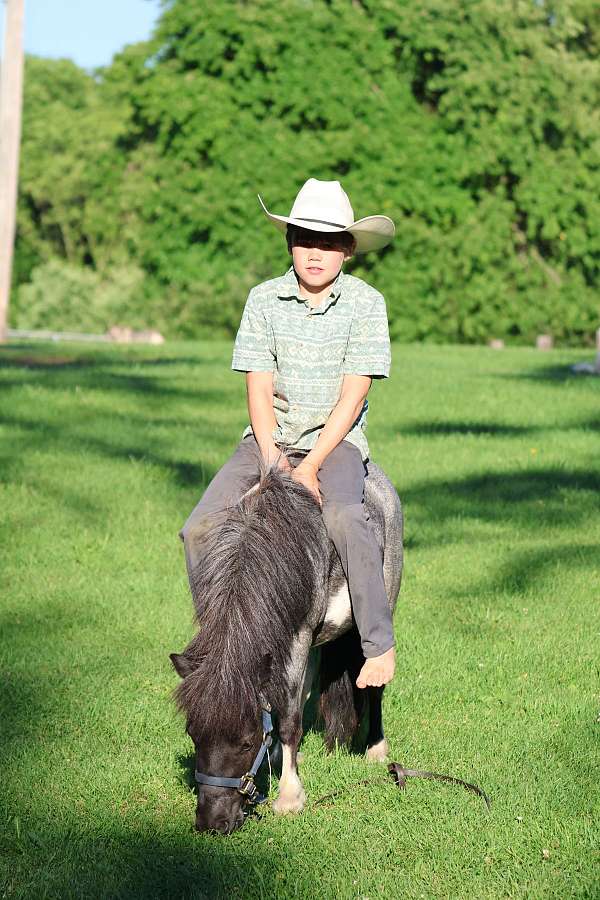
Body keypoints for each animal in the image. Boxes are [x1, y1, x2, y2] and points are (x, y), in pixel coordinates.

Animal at [170, 463, 403, 834]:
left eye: (247, 742)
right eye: (193, 734)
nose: (213, 823)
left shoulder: (299, 637)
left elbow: (291, 719)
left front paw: (290, 797)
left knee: (374, 681)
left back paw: (375, 748)